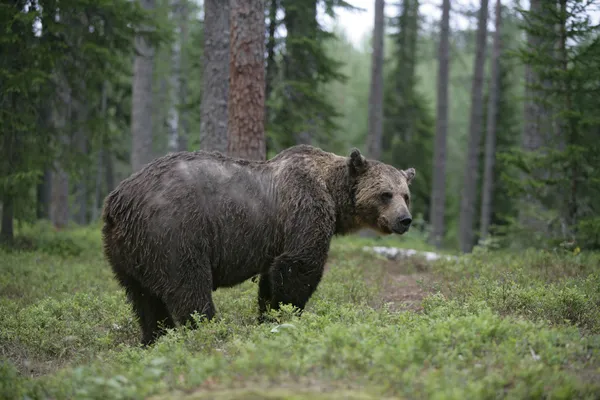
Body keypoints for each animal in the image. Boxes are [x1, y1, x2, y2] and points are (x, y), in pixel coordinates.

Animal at [101, 145, 414, 346]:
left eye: (406, 195)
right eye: (386, 194)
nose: (405, 220)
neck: (332, 193)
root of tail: (119, 201)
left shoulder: (276, 240)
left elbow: (270, 278)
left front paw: (267, 315)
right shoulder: (303, 210)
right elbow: (299, 267)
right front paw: (286, 315)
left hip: (128, 251)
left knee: (143, 298)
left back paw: (154, 338)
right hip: (175, 232)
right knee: (188, 287)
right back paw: (209, 330)